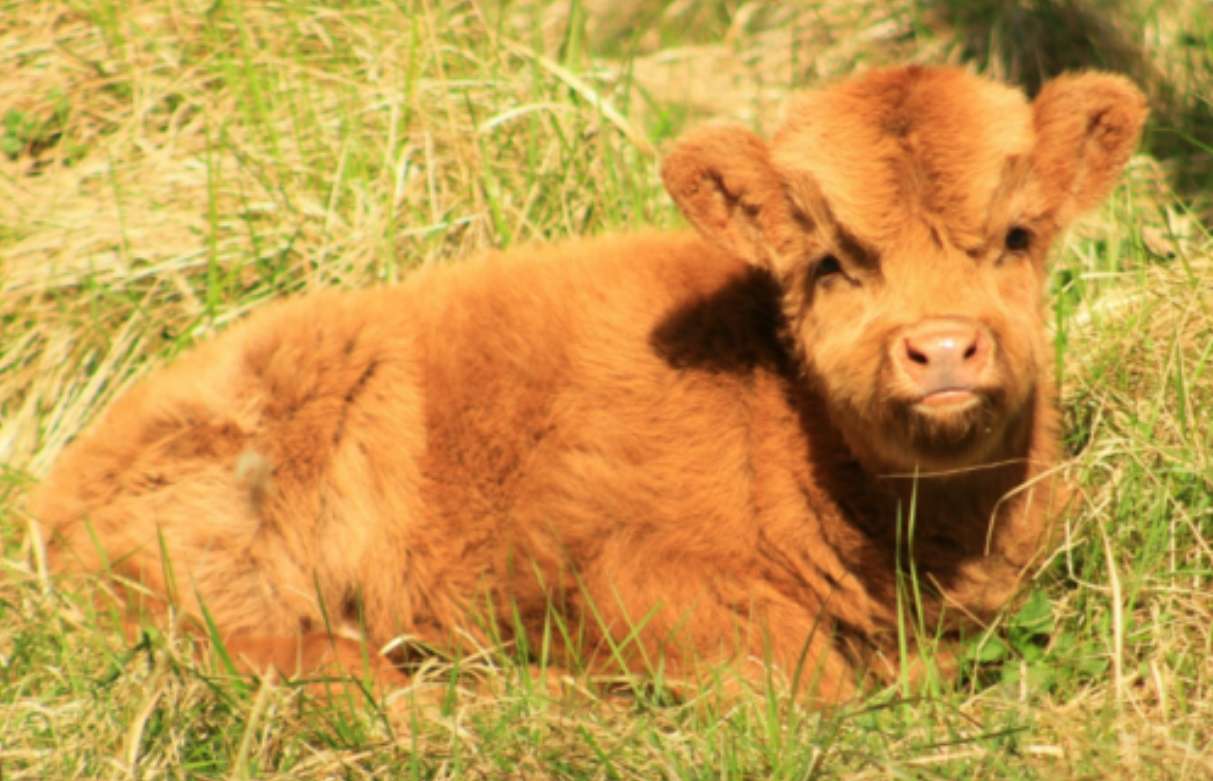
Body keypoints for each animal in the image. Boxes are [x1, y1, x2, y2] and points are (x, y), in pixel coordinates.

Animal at [31, 65, 1146, 703]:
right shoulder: (625, 574)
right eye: (831, 262)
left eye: (1016, 235)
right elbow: (799, 678)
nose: (943, 349)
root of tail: (59, 486)